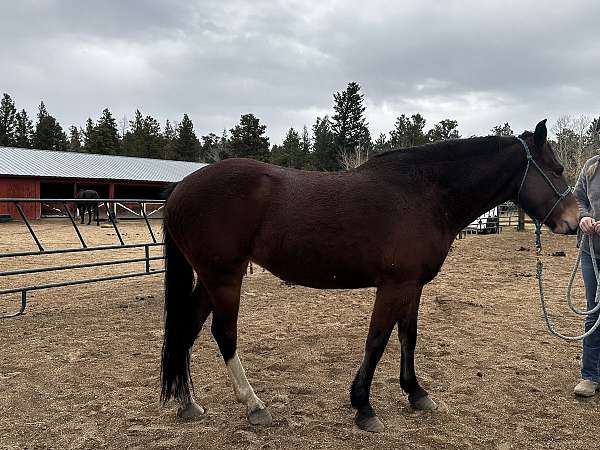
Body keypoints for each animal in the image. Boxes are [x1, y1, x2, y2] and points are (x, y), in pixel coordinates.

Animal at [161, 119, 580, 432]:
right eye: (557, 170)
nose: (575, 222)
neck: (424, 195)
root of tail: (181, 188)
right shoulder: (393, 286)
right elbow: (377, 341)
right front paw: (363, 407)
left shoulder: (412, 285)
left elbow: (408, 337)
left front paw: (416, 393)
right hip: (224, 277)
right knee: (223, 334)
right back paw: (254, 405)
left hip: (211, 279)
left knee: (187, 327)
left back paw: (188, 403)